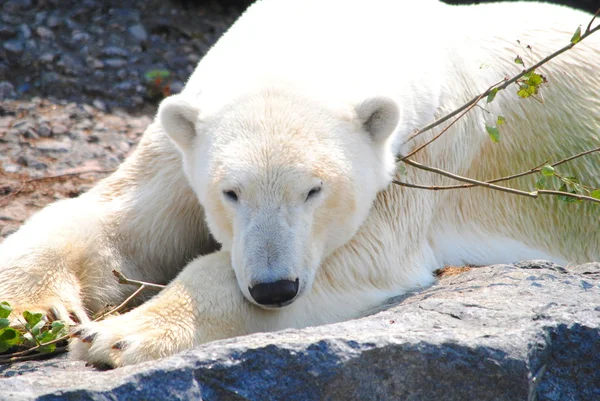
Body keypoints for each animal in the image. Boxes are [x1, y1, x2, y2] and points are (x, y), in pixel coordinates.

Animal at [0, 0, 596, 366]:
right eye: (230, 193)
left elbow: (361, 253)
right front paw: (32, 312)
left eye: (314, 190)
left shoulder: (422, 146)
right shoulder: (181, 142)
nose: (274, 287)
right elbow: (116, 219)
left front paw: (118, 335)